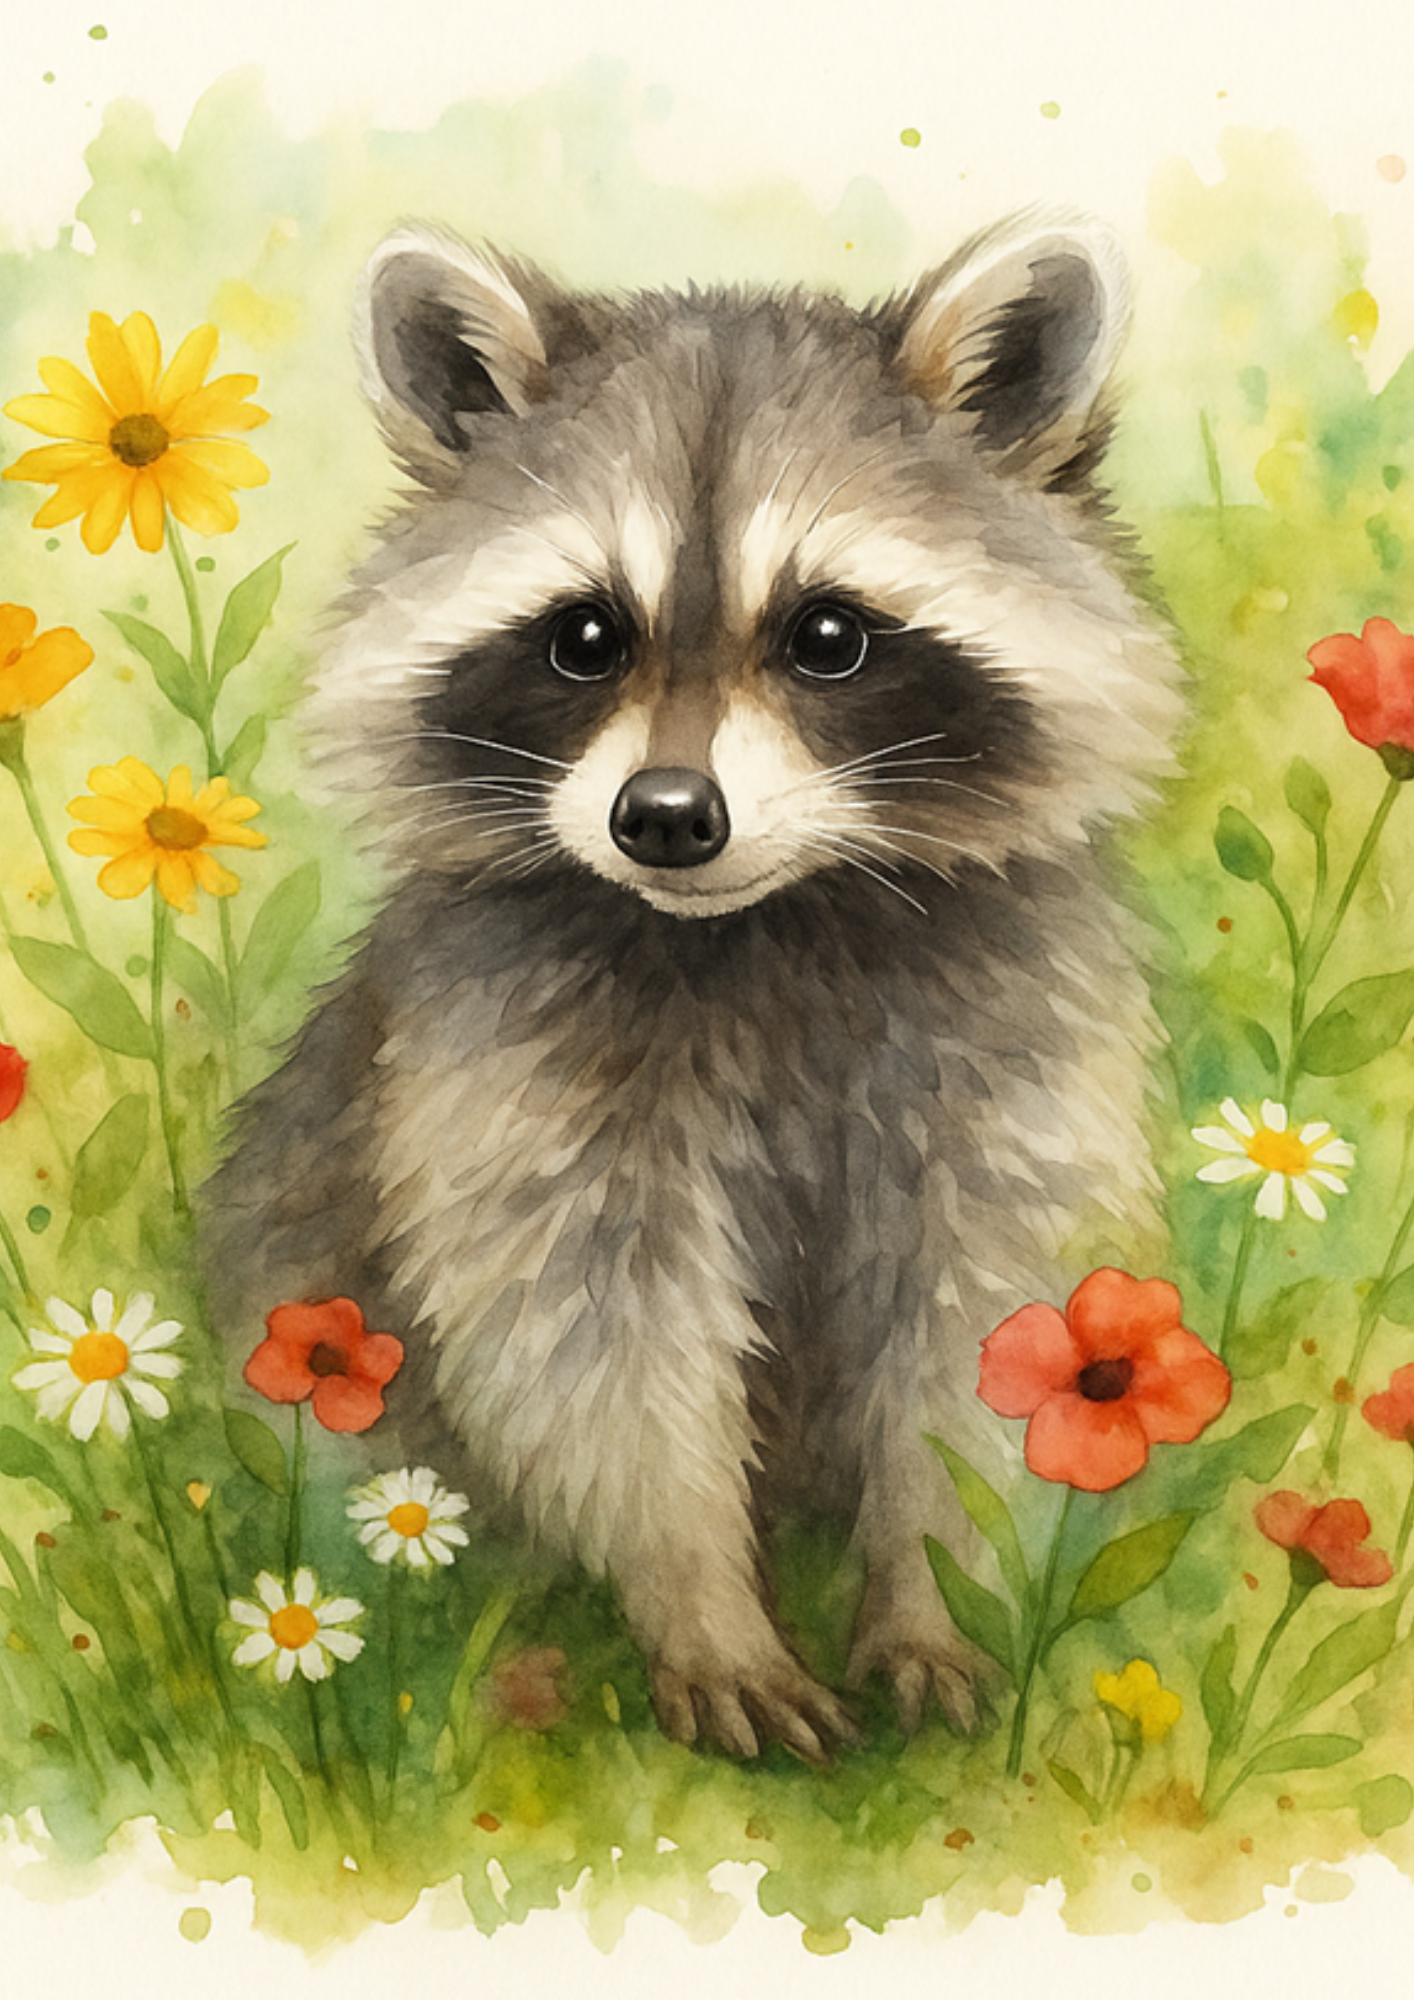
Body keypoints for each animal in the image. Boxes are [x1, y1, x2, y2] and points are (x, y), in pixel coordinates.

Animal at [205, 216, 1181, 1760]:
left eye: (828, 637)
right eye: (585, 636)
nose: (665, 816)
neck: (768, 921)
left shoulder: (1009, 1027)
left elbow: (984, 1320)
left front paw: (932, 1586)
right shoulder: (508, 1047)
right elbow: (596, 1334)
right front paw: (703, 1602)